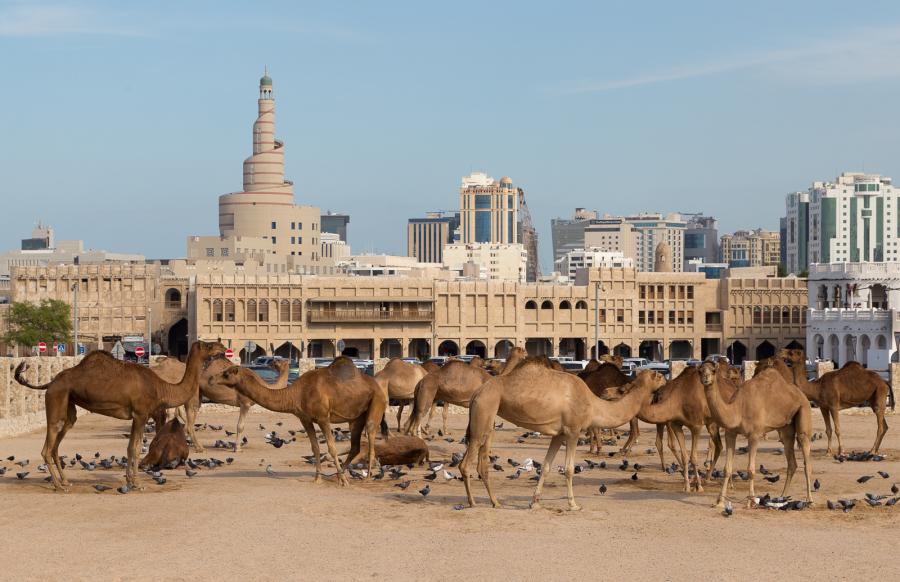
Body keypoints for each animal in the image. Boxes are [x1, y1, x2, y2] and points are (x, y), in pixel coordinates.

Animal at [13, 340, 225, 490]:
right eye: (208, 345)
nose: (222, 346)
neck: (161, 387)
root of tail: (50, 382)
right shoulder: (141, 413)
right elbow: (136, 448)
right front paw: (137, 483)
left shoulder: (136, 416)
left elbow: (130, 447)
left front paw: (130, 481)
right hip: (56, 398)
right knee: (47, 446)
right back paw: (58, 485)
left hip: (69, 405)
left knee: (58, 442)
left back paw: (65, 481)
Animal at [151, 358, 290, 454]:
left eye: (279, 360)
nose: (271, 361)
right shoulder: (245, 403)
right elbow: (240, 426)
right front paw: (237, 448)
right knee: (186, 422)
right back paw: (197, 447)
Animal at [460, 368, 664, 512]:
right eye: (658, 375)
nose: (665, 378)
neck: (593, 405)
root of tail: (477, 392)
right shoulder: (573, 431)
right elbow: (569, 469)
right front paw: (573, 504)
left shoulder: (558, 435)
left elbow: (546, 467)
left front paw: (534, 503)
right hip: (485, 408)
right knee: (466, 462)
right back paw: (473, 502)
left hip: (488, 416)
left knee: (482, 462)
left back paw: (495, 502)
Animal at [696, 362, 816, 508]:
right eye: (700, 371)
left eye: (713, 370)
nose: (706, 378)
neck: (738, 408)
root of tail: (801, 394)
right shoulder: (730, 433)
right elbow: (727, 469)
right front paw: (720, 501)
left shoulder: (754, 435)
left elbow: (751, 470)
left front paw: (750, 501)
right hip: (786, 427)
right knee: (791, 459)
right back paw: (782, 498)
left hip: (804, 410)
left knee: (806, 457)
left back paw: (810, 501)